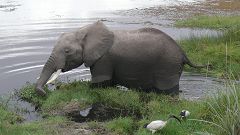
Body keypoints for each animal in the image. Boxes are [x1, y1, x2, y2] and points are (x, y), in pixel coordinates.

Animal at [34, 20, 209, 96]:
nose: (46, 93)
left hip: (167, 66)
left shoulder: (104, 59)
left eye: (67, 51)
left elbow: (99, 82)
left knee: (167, 89)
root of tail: (183, 53)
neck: (84, 31)